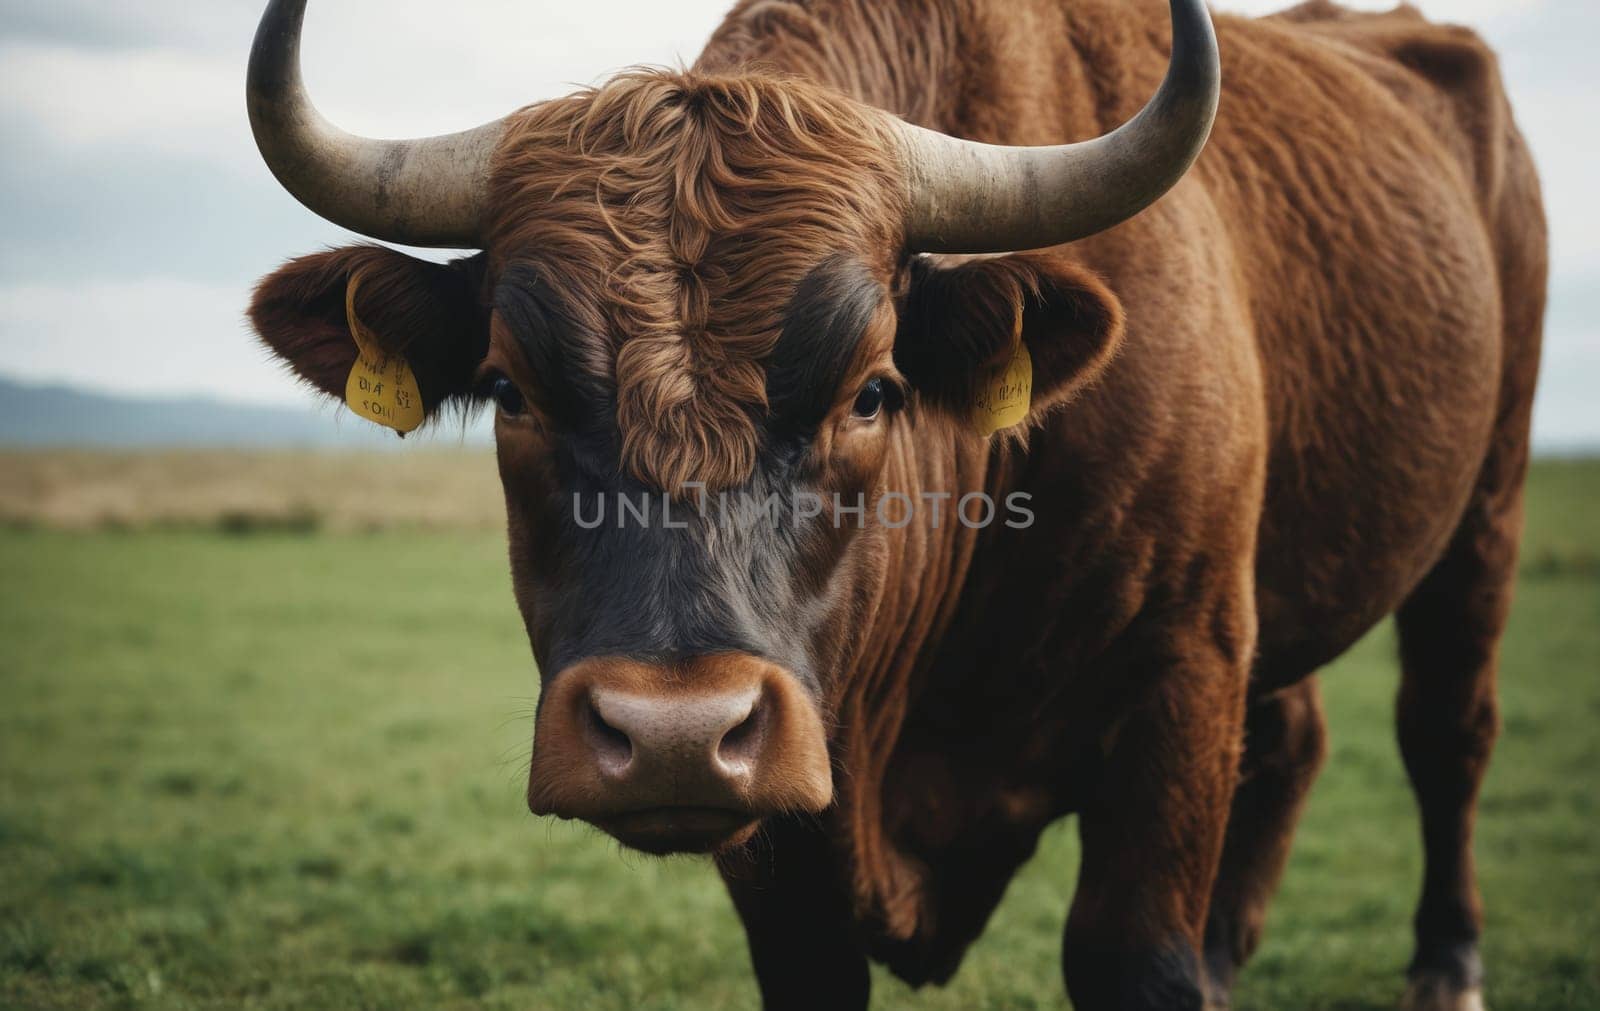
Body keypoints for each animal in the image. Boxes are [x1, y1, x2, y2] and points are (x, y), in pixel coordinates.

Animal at [243, 1, 1542, 1004]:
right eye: (510, 389)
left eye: (872, 391)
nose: (672, 737)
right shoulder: (789, 824)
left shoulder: (1182, 671)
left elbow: (1132, 956)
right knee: (1297, 736)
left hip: (1487, 510)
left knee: (1447, 729)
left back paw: (1447, 966)